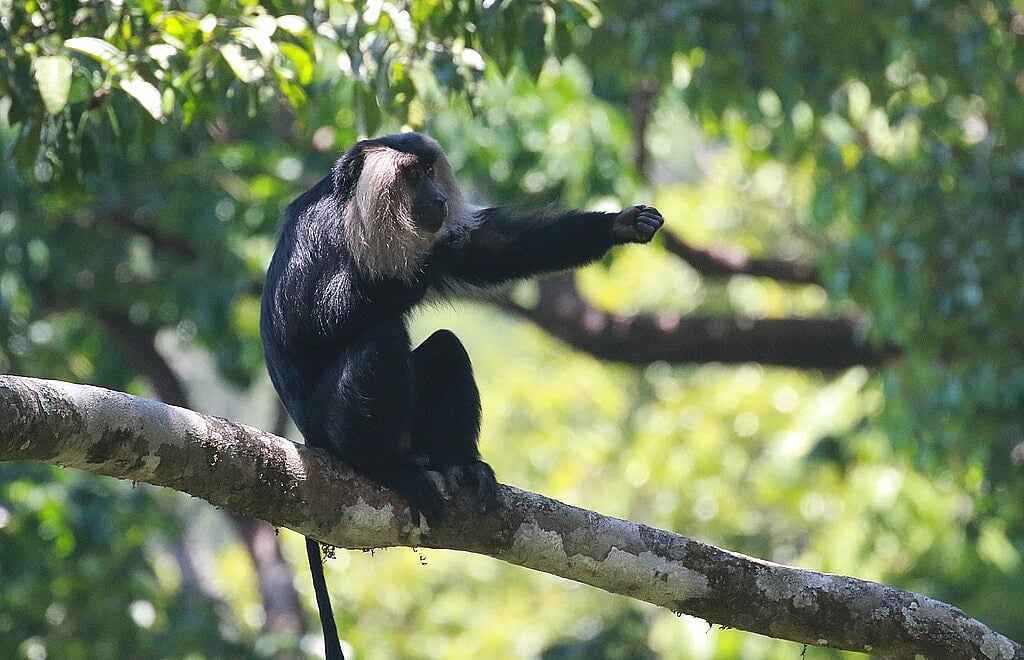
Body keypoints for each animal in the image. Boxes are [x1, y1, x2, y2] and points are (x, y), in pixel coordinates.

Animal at [259, 132, 663, 658]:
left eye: (432, 173)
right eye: (412, 176)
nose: (437, 200)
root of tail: (308, 437)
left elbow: (497, 250)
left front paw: (620, 224)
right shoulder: (318, 233)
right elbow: (310, 323)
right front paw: (431, 263)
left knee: (445, 348)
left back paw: (459, 463)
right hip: (329, 422)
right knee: (381, 340)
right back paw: (382, 465)